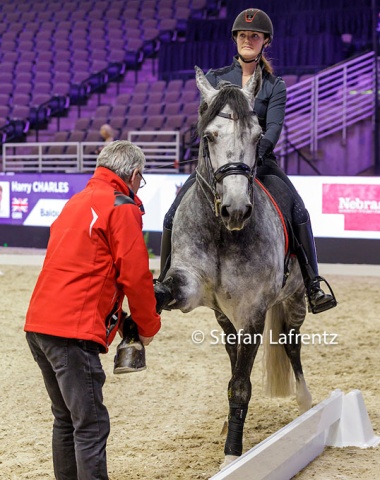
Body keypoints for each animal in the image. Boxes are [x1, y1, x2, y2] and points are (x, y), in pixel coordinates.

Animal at [154, 65, 312, 466]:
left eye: (257, 136)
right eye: (209, 136)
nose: (236, 209)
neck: (222, 233)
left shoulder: (253, 310)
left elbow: (241, 386)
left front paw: (231, 456)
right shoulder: (192, 287)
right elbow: (233, 374)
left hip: (295, 299)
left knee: (291, 344)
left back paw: (305, 403)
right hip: (224, 315)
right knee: (232, 353)